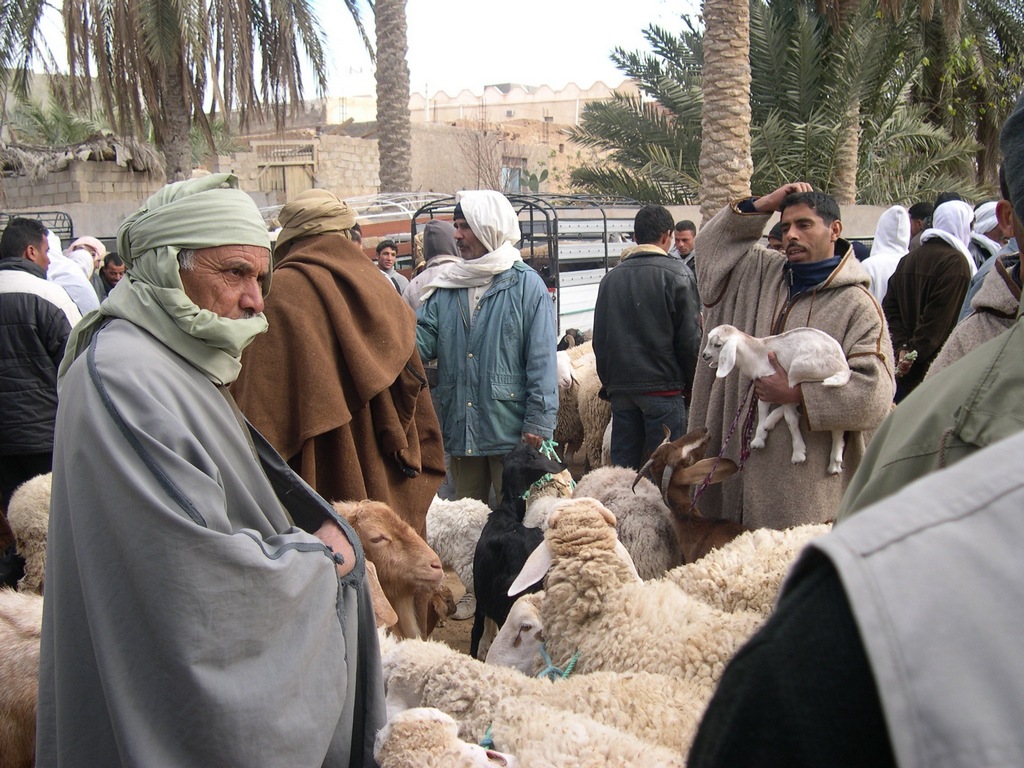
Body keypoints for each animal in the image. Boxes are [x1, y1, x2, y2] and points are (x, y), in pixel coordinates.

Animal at [700, 321, 851, 473]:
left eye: (718, 345)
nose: (704, 355)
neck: (757, 354)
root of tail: (843, 366)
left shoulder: (774, 383)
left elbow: (790, 419)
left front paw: (798, 454)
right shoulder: (762, 386)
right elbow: (762, 409)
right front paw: (758, 439)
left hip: (800, 369)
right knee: (836, 423)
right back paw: (835, 463)